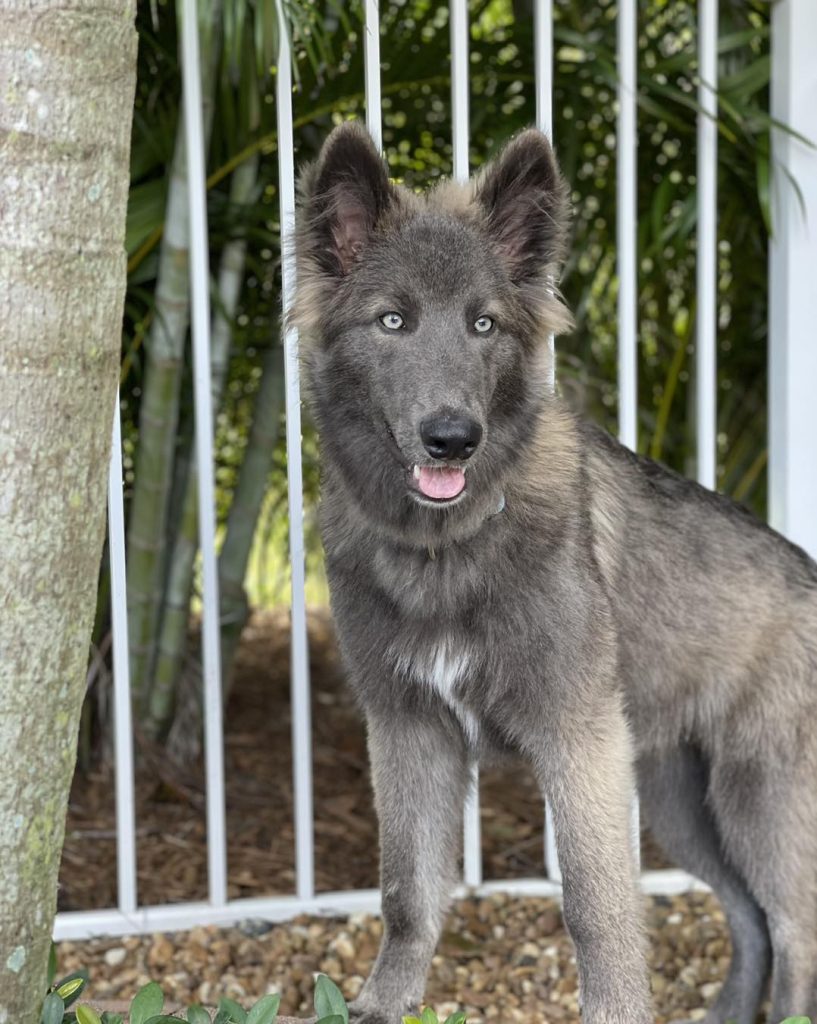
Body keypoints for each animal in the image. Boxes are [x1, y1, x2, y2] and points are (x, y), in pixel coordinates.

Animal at [292, 121, 817, 1024]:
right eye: (391, 319)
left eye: (484, 324)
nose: (451, 438)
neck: (449, 547)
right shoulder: (410, 730)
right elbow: (406, 895)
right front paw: (382, 1006)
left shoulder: (577, 739)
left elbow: (596, 908)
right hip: (682, 803)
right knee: (749, 917)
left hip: (758, 799)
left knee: (794, 928)